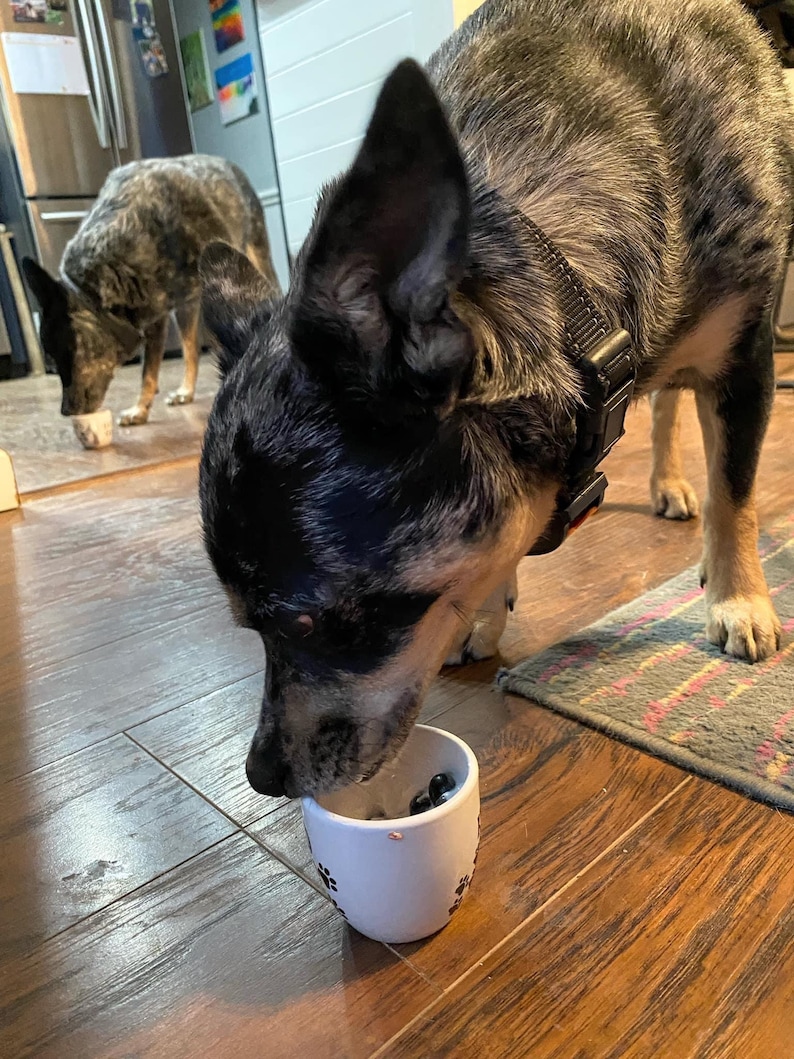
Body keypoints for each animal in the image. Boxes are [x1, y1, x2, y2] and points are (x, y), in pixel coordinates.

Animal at [21, 154, 279, 425]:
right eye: (51, 362)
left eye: (76, 352)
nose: (66, 411)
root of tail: (224, 161)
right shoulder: (156, 318)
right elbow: (149, 371)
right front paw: (140, 409)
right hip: (185, 309)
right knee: (191, 349)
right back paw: (186, 390)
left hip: (256, 256)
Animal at [197, 0, 794, 796]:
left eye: (302, 624)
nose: (261, 773)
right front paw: (485, 607)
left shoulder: (748, 355)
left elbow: (737, 489)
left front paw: (738, 598)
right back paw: (666, 482)